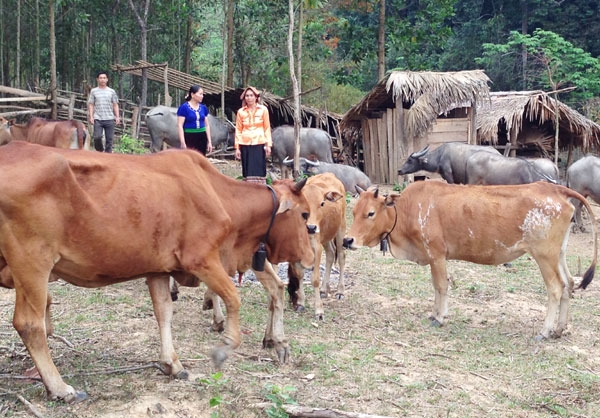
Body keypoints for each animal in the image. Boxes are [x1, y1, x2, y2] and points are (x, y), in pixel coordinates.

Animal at [1, 142, 314, 404]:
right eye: (304, 215)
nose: (310, 258)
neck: (219, 195)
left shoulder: (158, 269)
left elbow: (164, 313)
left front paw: (172, 364)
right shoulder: (201, 259)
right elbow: (233, 299)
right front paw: (224, 348)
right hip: (33, 263)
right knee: (30, 324)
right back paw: (60, 387)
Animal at [288, 171, 346, 318]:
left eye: (322, 203)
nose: (311, 227)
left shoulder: (316, 247)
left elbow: (314, 279)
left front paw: (319, 310)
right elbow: (299, 274)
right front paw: (301, 303)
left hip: (340, 229)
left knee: (341, 257)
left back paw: (340, 291)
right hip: (326, 237)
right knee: (331, 253)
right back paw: (324, 289)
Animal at [344, 181, 596, 342]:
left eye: (370, 213)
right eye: (354, 211)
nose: (347, 240)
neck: (407, 209)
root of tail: (553, 188)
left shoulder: (436, 254)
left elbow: (441, 285)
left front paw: (440, 317)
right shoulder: (434, 257)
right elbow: (436, 286)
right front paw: (434, 313)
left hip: (544, 256)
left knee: (555, 288)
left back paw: (545, 331)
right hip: (558, 254)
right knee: (569, 284)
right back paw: (559, 330)